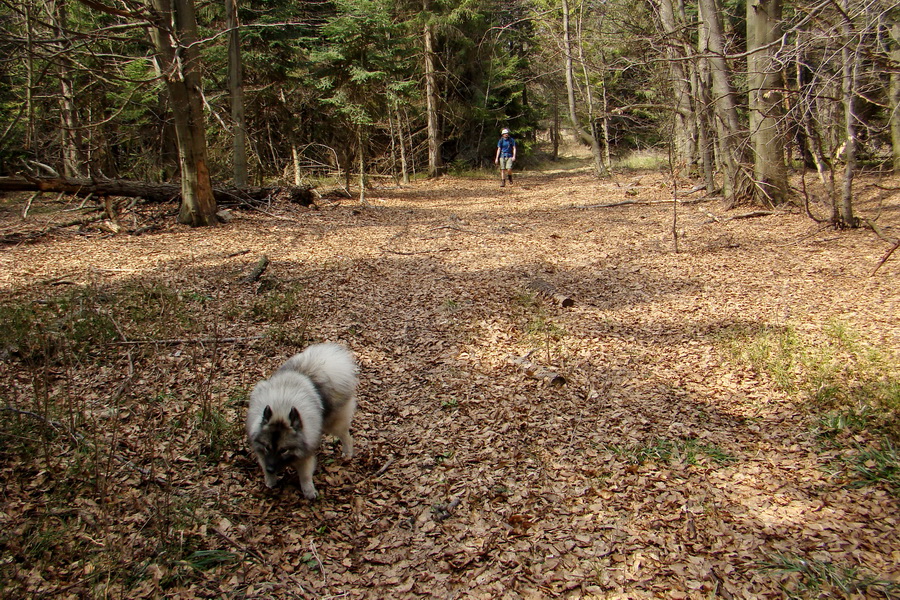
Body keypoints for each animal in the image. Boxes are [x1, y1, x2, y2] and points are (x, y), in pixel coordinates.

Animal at [248, 344, 360, 500]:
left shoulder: (305, 455)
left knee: (347, 437)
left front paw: (309, 492)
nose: (271, 469)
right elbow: (264, 464)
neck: (281, 408)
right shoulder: (261, 451)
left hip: (332, 424)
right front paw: (270, 480)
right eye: (267, 447)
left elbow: (305, 476)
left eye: (284, 450)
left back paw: (348, 453)